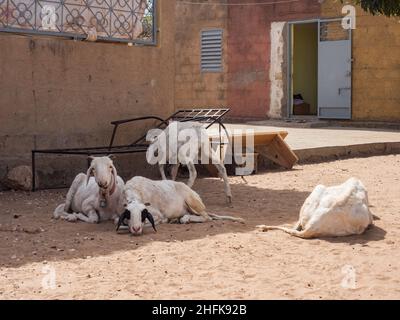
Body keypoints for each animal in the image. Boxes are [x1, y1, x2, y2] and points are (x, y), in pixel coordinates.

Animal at [115, 175, 244, 235]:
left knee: (207, 217)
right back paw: (177, 219)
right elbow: (118, 222)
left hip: (192, 202)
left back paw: (184, 219)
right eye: (129, 213)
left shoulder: (157, 215)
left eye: (143, 214)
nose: (136, 229)